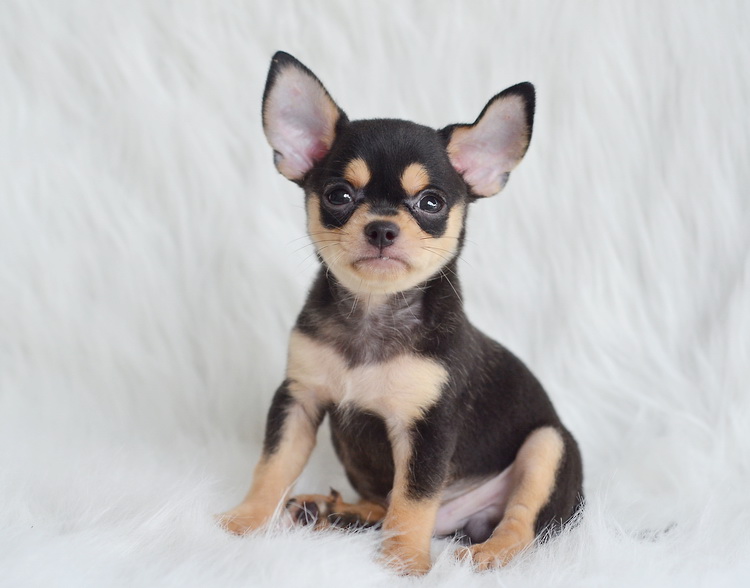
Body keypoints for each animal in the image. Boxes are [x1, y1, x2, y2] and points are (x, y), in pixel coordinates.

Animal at [219, 51, 583, 574]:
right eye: (338, 195)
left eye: (431, 202)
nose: (382, 228)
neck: (374, 312)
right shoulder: (298, 399)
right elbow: (273, 465)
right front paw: (246, 520)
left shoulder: (428, 429)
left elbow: (414, 498)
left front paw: (405, 560)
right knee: (383, 504)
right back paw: (331, 510)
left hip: (548, 446)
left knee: (521, 525)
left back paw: (487, 555)